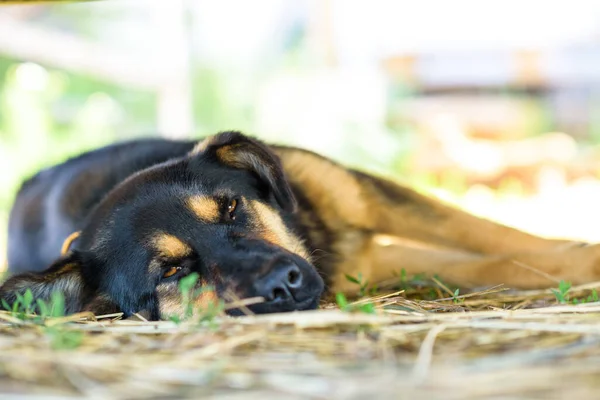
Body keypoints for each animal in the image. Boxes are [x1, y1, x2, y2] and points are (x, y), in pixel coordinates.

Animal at [1, 133, 600, 320]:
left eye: (230, 208)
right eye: (172, 271)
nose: (283, 284)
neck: (309, 233)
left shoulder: (369, 199)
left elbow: (495, 237)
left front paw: (581, 257)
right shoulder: (369, 263)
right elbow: (498, 259)